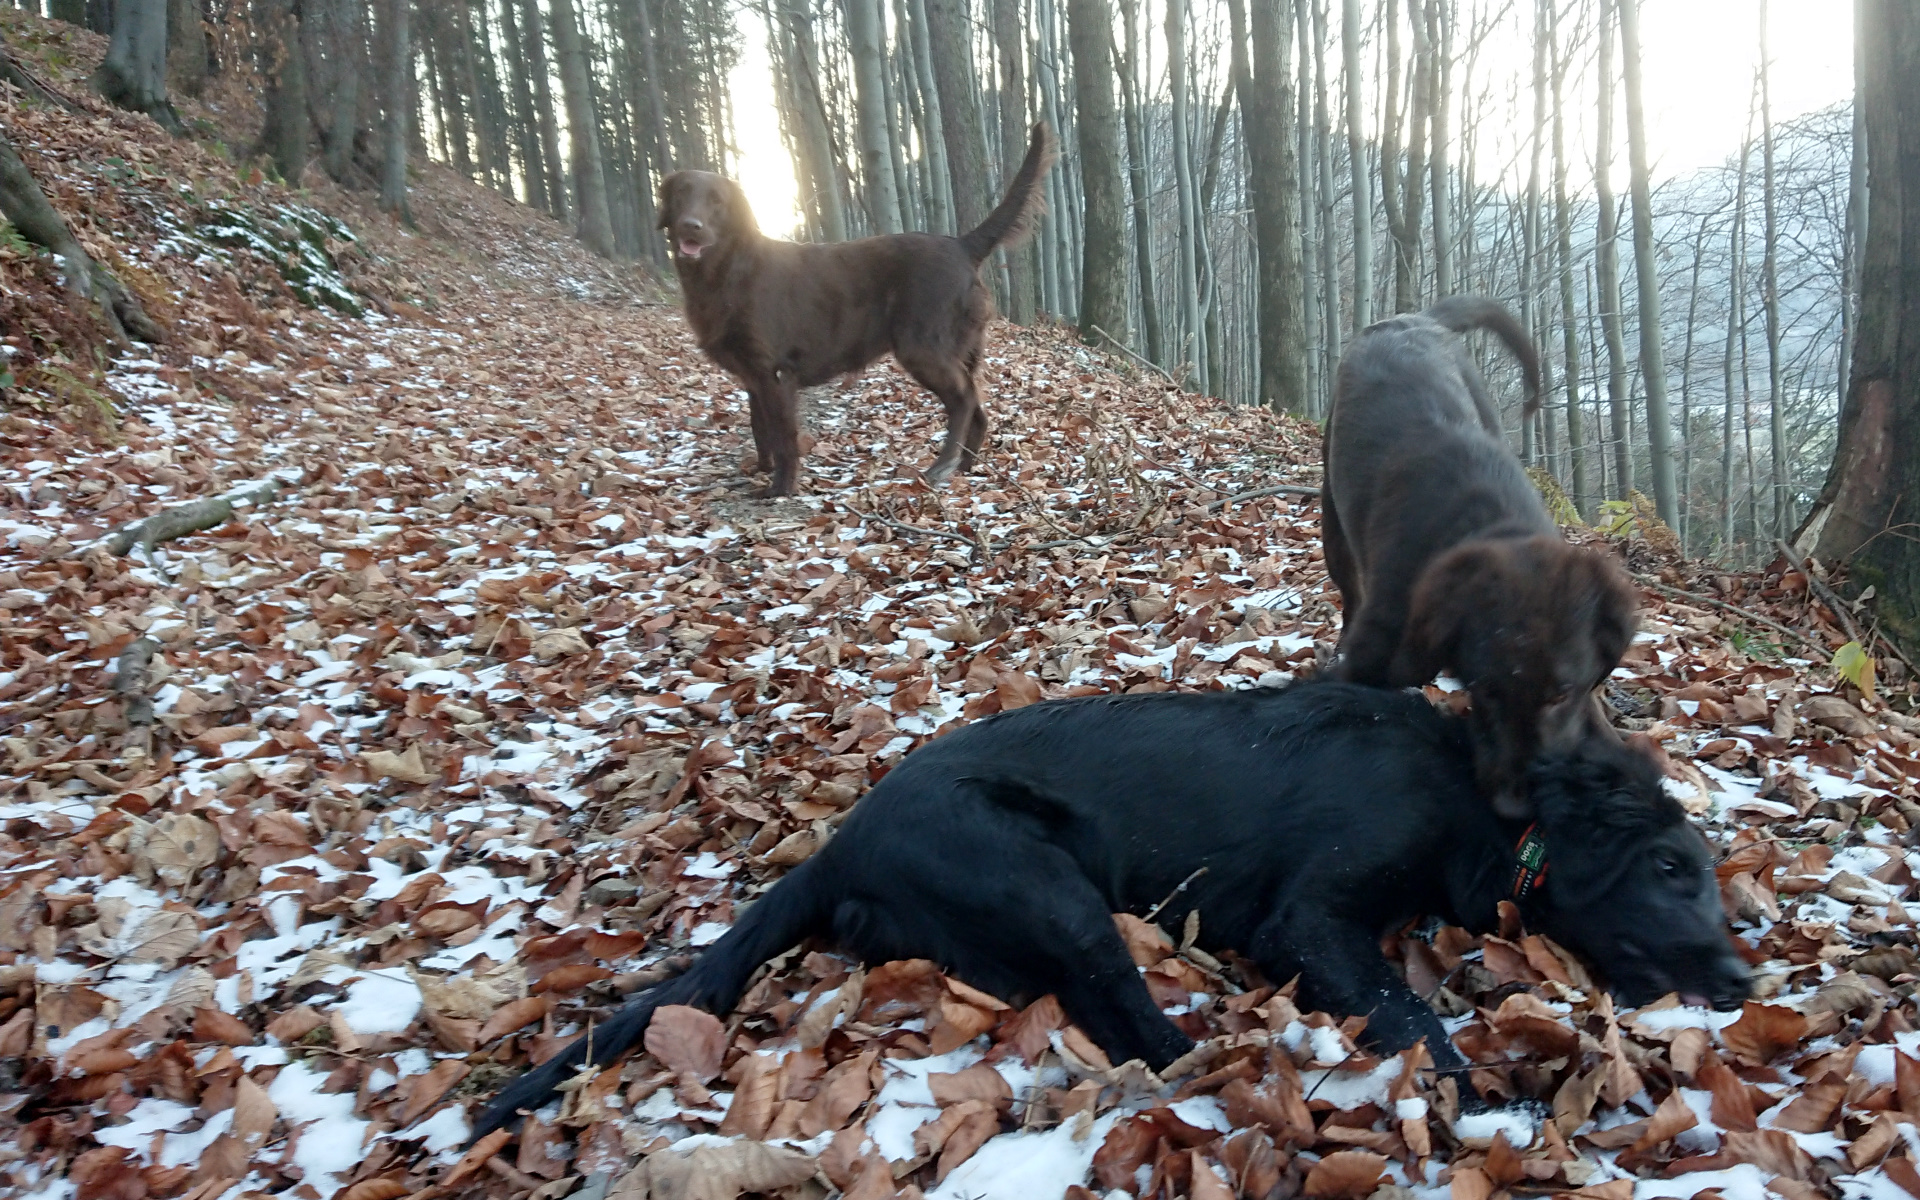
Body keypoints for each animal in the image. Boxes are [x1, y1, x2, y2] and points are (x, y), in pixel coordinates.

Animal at [473, 681, 1746, 1138]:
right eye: (1671, 868)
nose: (1743, 977)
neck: (1474, 797)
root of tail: (840, 844)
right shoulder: (1306, 916)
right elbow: (1414, 1016)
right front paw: (1487, 1104)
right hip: (1048, 883)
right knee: (1138, 1029)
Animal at [655, 124, 1056, 497]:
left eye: (717, 200)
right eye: (681, 194)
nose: (691, 227)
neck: (726, 272)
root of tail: (960, 245)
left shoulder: (776, 373)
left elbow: (784, 439)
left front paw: (780, 488)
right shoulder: (753, 376)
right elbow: (759, 429)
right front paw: (761, 469)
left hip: (922, 347)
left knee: (964, 399)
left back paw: (939, 467)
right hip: (963, 347)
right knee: (978, 406)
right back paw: (965, 465)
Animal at [1321, 296, 1638, 819]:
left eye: (1561, 693)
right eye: (1487, 689)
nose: (1517, 808)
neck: (1489, 524)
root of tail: (1414, 318)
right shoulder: (1373, 659)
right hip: (1333, 521)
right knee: (1349, 593)